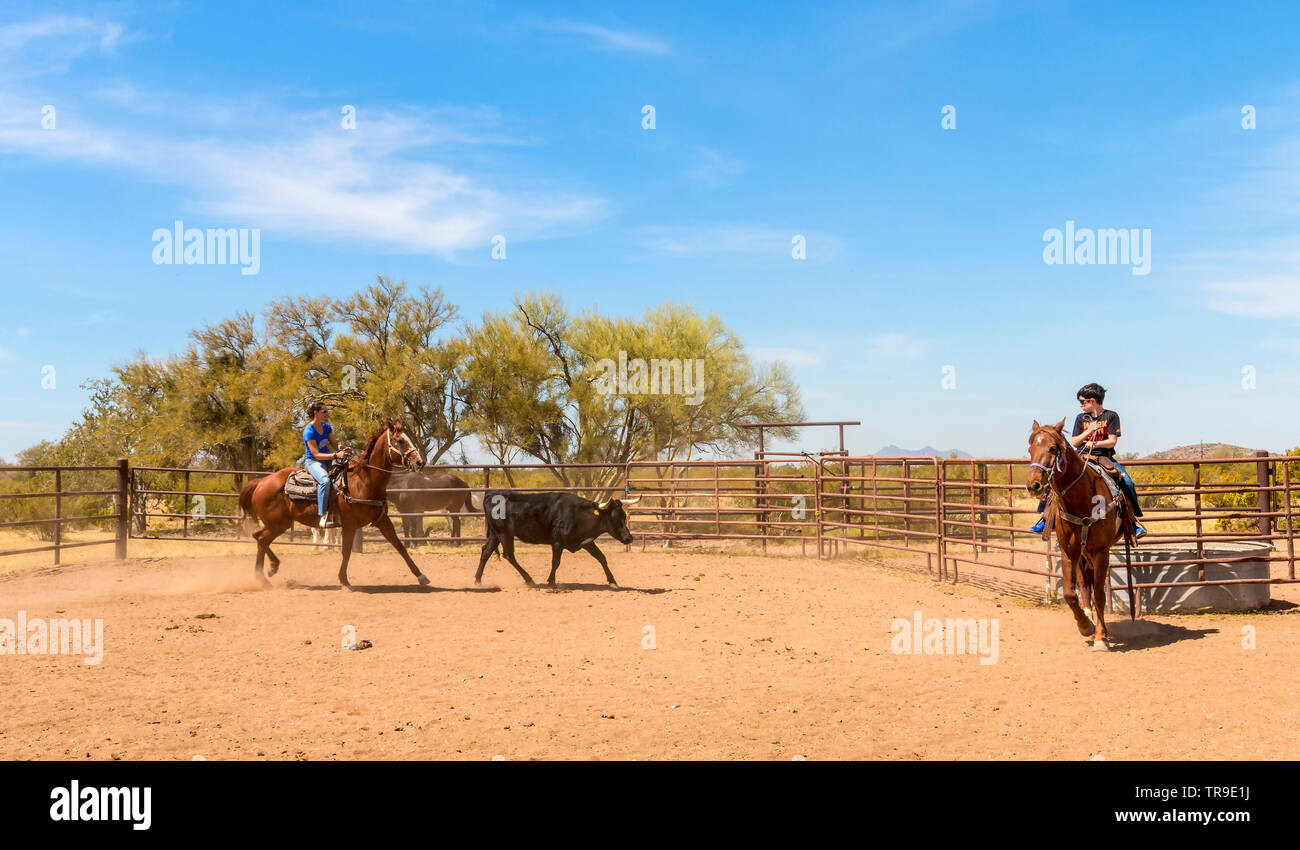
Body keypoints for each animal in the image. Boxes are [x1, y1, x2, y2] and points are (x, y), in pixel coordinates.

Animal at [238, 420, 431, 591]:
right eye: (400, 441)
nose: (420, 462)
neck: (363, 481)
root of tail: (261, 482)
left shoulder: (383, 520)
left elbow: (399, 545)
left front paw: (421, 576)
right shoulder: (350, 525)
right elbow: (346, 552)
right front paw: (344, 582)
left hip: (278, 524)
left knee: (259, 538)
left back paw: (270, 570)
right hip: (278, 523)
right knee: (262, 539)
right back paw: (263, 577)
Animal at [1025, 418, 1137, 651]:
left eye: (1052, 448)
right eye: (1030, 449)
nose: (1034, 485)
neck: (1081, 500)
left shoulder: (1101, 552)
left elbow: (1101, 595)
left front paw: (1101, 637)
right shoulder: (1069, 552)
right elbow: (1070, 593)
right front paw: (1085, 626)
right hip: (1081, 554)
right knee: (1084, 586)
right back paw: (1088, 617)